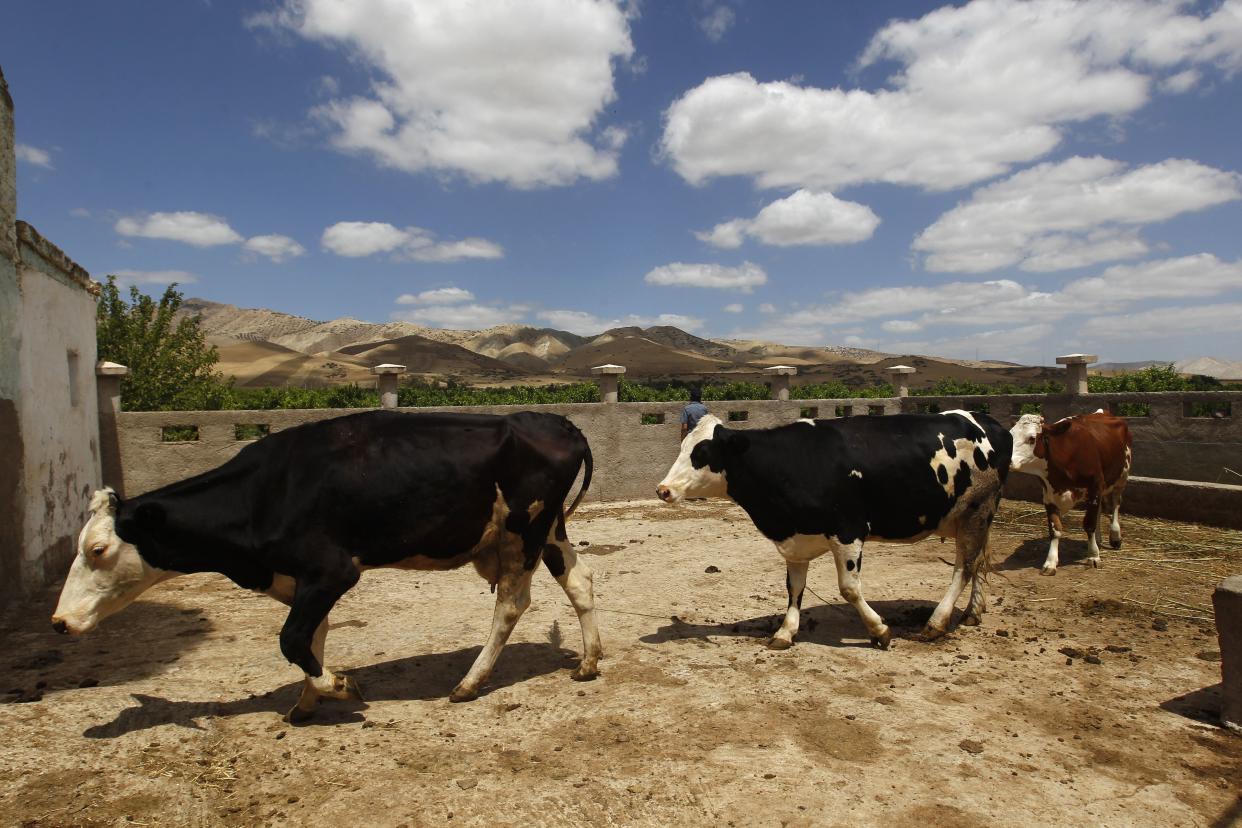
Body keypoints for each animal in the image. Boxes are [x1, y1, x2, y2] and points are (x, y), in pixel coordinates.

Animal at [50, 412, 603, 720]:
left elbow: (293, 640)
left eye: (97, 549)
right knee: (579, 580)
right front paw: (305, 704)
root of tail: (559, 422)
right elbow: (312, 636)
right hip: (549, 530)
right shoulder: (301, 580)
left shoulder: (332, 571)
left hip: (523, 532)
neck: (265, 492)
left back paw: (470, 682)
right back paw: (588, 661)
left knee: (511, 604)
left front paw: (336, 687)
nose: (59, 621)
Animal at [655, 412, 1013, 650]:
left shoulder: (848, 531)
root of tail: (989, 422)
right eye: (683, 447)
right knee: (978, 561)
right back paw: (972, 612)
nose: (663, 490)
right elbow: (794, 587)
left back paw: (935, 624)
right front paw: (785, 632)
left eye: (701, 453)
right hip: (970, 517)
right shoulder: (795, 539)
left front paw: (879, 630)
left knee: (964, 567)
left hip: (977, 509)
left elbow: (849, 589)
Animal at [1013, 412, 1132, 576]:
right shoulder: (1049, 496)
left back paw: (1115, 537)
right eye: (1011, 435)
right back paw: (1099, 539)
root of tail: (1102, 413)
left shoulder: (1095, 487)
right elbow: (1055, 529)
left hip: (1121, 477)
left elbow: (1089, 524)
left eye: (1031, 438)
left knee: (1115, 505)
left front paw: (1093, 556)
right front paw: (1050, 562)